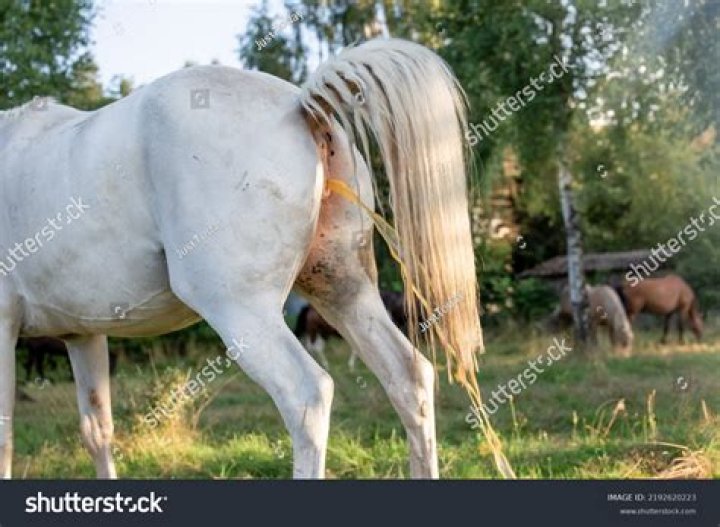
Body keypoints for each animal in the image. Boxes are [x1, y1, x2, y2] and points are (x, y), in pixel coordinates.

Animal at [0, 38, 482, 479]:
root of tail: (301, 105)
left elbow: (6, 438)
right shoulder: (83, 334)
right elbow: (97, 432)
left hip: (241, 310)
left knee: (307, 396)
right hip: (343, 291)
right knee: (409, 378)